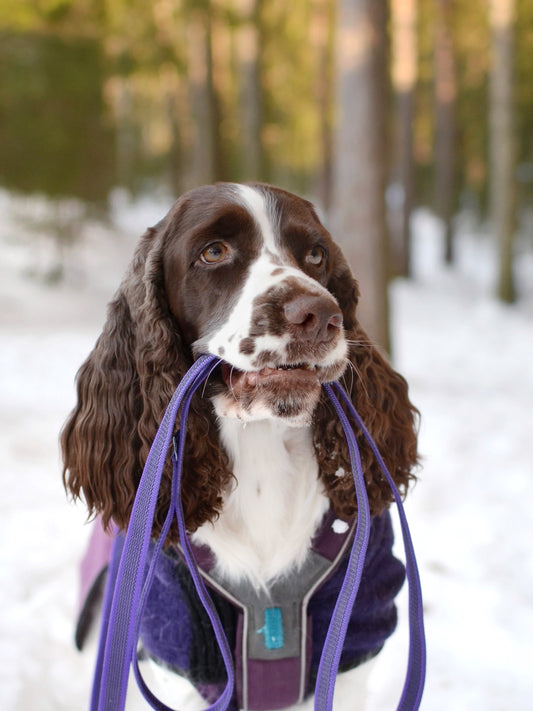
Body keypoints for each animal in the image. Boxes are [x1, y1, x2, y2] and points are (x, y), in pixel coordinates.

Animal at [60, 185, 414, 711]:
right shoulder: (181, 652)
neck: (260, 448)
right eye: (214, 251)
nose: (319, 315)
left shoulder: (355, 637)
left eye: (316, 255)